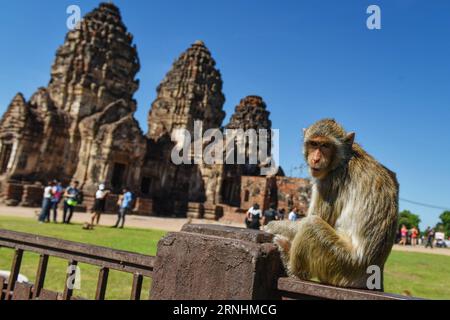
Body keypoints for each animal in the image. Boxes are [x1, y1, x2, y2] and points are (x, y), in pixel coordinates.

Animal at [266, 119, 400, 288]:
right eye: (314, 144)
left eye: (325, 146)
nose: (316, 159)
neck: (343, 159)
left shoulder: (329, 181)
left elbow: (313, 219)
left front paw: (270, 226)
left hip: (341, 263)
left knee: (311, 225)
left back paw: (292, 268)